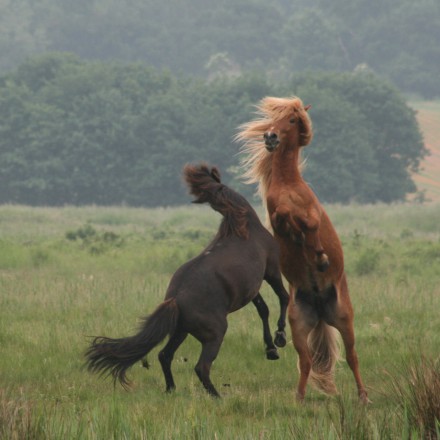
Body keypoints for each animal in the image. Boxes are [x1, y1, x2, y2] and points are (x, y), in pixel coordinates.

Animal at [85, 163, 288, 398]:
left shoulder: (251, 289)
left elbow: (263, 309)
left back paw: (171, 389)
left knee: (164, 355)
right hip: (214, 334)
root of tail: (175, 299)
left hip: (181, 331)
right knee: (201, 367)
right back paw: (217, 396)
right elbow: (283, 298)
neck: (244, 225)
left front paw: (271, 349)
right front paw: (280, 337)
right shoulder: (271, 271)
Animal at [235, 96, 370, 402]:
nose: (270, 137)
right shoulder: (275, 217)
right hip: (299, 324)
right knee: (307, 360)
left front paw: (320, 257)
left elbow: (310, 224)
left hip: (344, 320)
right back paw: (298, 398)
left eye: (293, 120)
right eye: (274, 119)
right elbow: (285, 217)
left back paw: (363, 396)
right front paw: (303, 242)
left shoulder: (312, 213)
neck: (288, 184)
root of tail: (320, 310)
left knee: (353, 357)